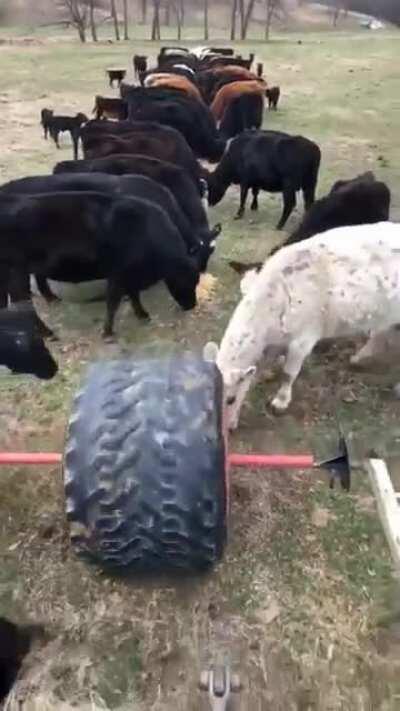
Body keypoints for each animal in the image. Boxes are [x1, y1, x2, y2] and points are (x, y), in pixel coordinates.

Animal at [0, 192, 200, 339]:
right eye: (186, 281)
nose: (191, 305)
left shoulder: (130, 275)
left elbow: (133, 295)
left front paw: (142, 314)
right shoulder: (118, 274)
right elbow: (113, 302)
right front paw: (108, 332)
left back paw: (51, 300)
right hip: (17, 271)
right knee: (23, 303)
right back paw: (47, 333)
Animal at [204, 222, 400, 426]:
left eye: (231, 399)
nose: (225, 429)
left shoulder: (303, 339)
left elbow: (289, 374)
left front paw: (280, 401)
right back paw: (359, 358)